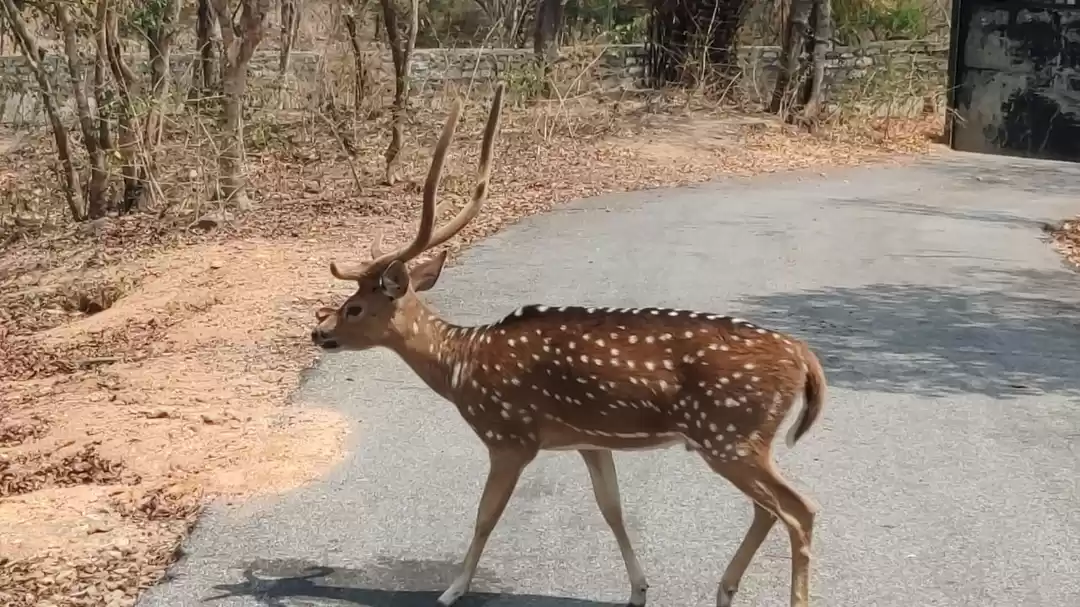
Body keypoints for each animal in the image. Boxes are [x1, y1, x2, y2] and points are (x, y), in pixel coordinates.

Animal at [310, 82, 827, 607]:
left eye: (355, 308)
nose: (319, 331)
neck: (460, 368)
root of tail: (804, 357)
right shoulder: (589, 439)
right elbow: (611, 508)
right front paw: (638, 589)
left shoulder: (510, 436)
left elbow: (485, 516)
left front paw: (452, 590)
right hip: (738, 440)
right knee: (769, 509)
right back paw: (724, 589)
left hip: (730, 434)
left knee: (798, 509)